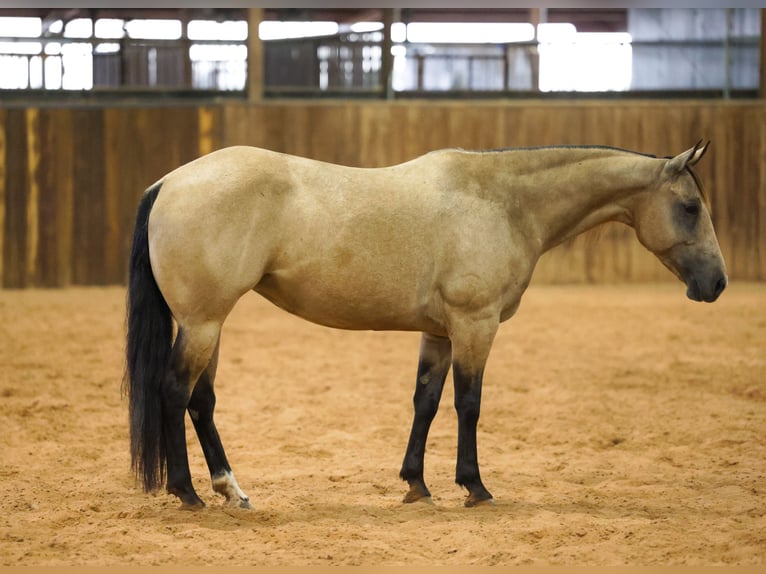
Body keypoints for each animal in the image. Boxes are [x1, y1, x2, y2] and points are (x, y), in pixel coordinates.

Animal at [124, 141, 727, 509]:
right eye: (691, 207)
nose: (717, 283)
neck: (502, 201)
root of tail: (169, 183)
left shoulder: (439, 332)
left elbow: (426, 401)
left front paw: (416, 483)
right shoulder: (475, 325)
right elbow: (469, 404)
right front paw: (474, 486)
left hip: (209, 325)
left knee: (201, 401)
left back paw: (231, 489)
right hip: (203, 323)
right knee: (175, 392)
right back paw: (188, 492)